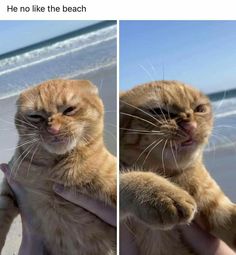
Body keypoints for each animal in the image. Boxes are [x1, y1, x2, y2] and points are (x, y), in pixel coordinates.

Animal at [0, 80, 116, 255]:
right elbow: (2, 207)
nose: (53, 129)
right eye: (36, 116)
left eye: (69, 110)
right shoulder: (9, 185)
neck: (53, 168)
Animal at [120, 80, 236, 255]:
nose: (191, 125)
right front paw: (163, 195)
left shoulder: (216, 207)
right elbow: (125, 177)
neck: (171, 174)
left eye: (200, 109)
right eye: (159, 111)